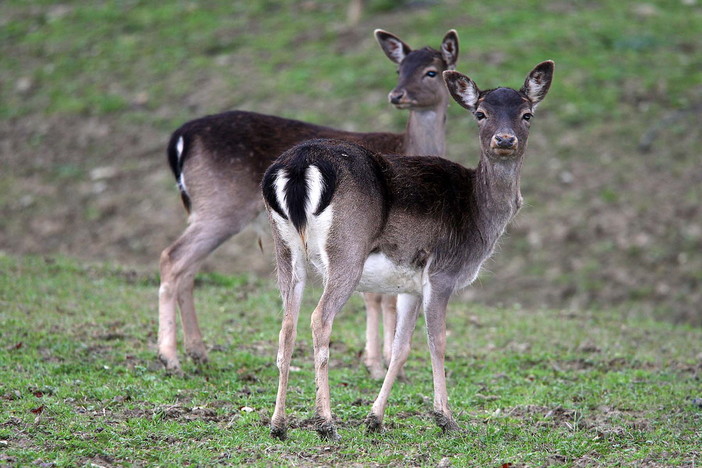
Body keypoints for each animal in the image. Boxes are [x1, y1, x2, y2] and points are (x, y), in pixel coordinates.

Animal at [157, 29, 460, 372]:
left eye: (431, 71)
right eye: (400, 69)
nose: (397, 95)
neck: (408, 147)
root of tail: (180, 139)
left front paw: (382, 358)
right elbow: (376, 296)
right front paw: (374, 363)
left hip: (205, 210)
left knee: (189, 268)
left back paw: (197, 351)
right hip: (220, 207)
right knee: (172, 258)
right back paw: (169, 356)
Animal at [262, 61, 560, 438]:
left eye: (527, 114)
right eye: (480, 113)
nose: (504, 139)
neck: (479, 215)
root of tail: (299, 165)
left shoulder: (411, 285)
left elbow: (401, 347)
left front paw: (375, 419)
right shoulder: (442, 273)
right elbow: (438, 342)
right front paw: (446, 418)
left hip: (285, 249)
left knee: (287, 324)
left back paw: (278, 424)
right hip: (347, 252)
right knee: (319, 319)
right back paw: (326, 422)